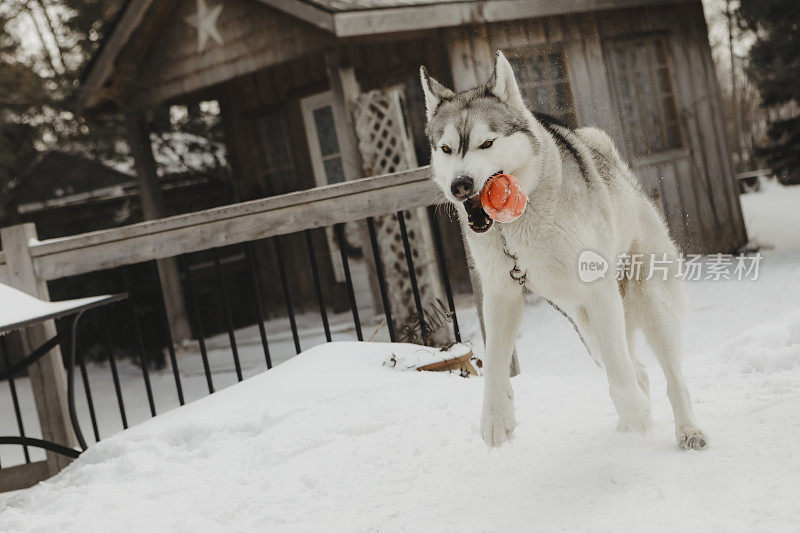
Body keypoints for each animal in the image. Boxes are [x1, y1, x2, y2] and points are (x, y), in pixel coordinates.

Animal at [418, 51, 708, 448]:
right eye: (446, 149)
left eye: (486, 143)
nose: (460, 185)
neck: (516, 228)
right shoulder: (501, 294)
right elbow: (494, 363)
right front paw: (496, 418)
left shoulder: (599, 291)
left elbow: (620, 370)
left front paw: (634, 408)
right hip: (587, 327)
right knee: (638, 368)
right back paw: (631, 423)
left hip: (648, 302)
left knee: (667, 373)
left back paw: (685, 428)